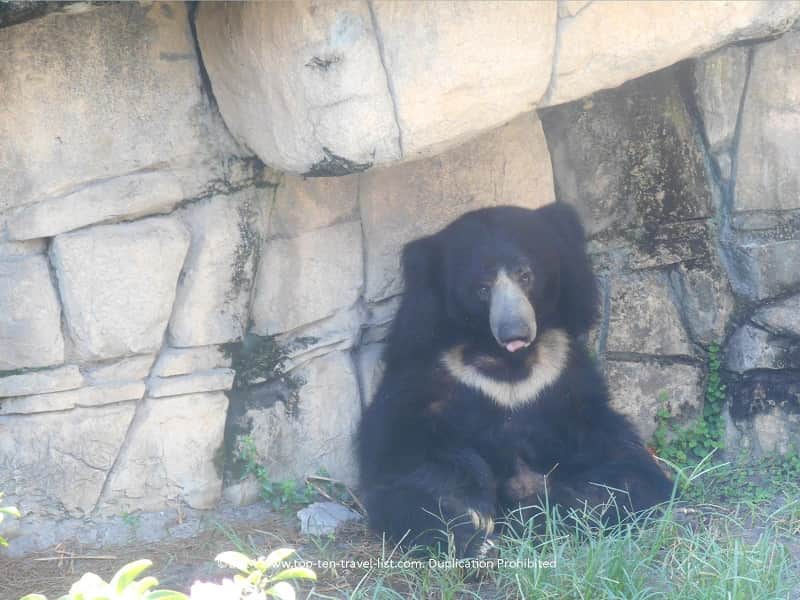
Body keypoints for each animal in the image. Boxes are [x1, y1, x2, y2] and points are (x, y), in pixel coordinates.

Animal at [357, 202, 673, 557]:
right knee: (402, 500)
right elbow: (403, 447)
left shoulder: (564, 373)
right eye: (482, 288)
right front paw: (473, 512)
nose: (514, 333)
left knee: (635, 478)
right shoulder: (426, 368)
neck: (509, 363)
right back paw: (475, 538)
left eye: (526, 275)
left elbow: (611, 449)